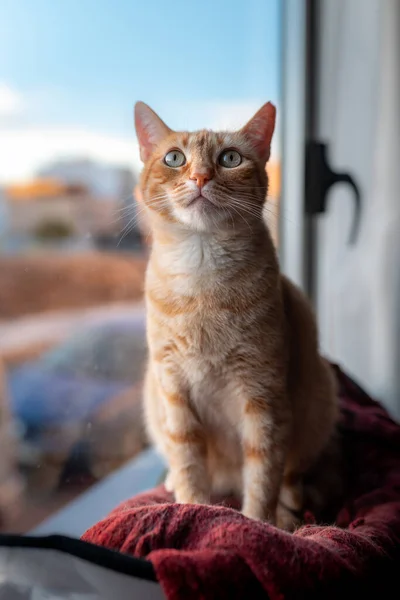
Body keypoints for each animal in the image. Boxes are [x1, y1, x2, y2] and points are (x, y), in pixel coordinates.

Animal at [134, 102, 338, 528]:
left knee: (291, 476)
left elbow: (262, 476)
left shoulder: (263, 397)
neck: (202, 276)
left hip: (320, 399)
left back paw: (290, 510)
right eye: (174, 158)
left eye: (230, 159)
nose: (199, 177)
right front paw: (193, 507)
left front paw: (260, 524)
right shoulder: (175, 391)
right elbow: (188, 463)